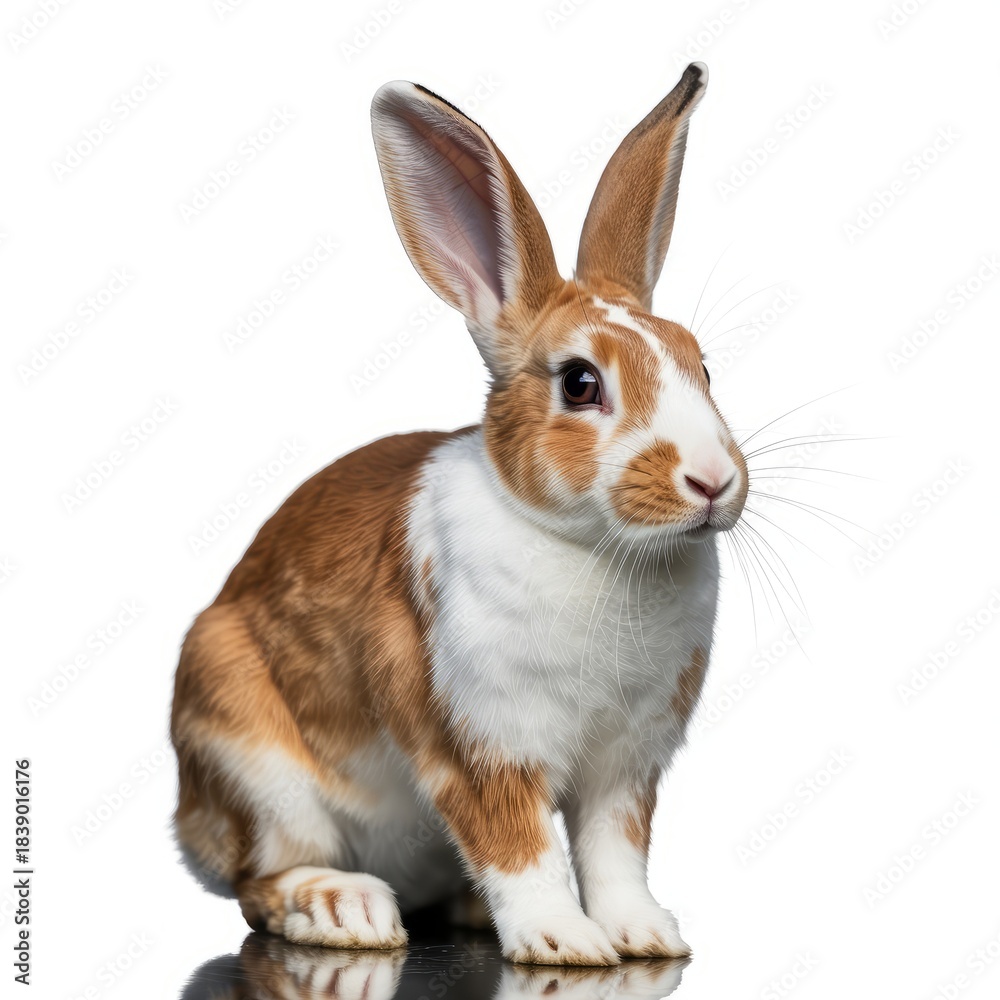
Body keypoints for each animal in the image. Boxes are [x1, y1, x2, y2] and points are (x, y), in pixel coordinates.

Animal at [171, 61, 749, 967]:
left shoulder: (626, 766)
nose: (714, 481)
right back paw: (344, 910)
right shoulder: (476, 745)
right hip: (249, 759)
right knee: (260, 881)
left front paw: (646, 938)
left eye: (704, 367)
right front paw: (564, 942)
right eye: (580, 383)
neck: (589, 546)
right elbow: (523, 850)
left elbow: (614, 852)